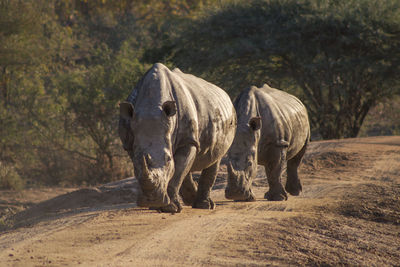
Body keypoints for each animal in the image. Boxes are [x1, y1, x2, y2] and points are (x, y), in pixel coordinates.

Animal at [119, 62, 238, 214]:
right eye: (135, 164)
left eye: (168, 159)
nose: (151, 199)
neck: (151, 105)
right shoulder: (129, 143)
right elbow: (176, 168)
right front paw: (159, 206)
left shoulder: (188, 140)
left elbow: (177, 171)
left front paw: (170, 208)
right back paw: (189, 201)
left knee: (215, 157)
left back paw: (204, 205)